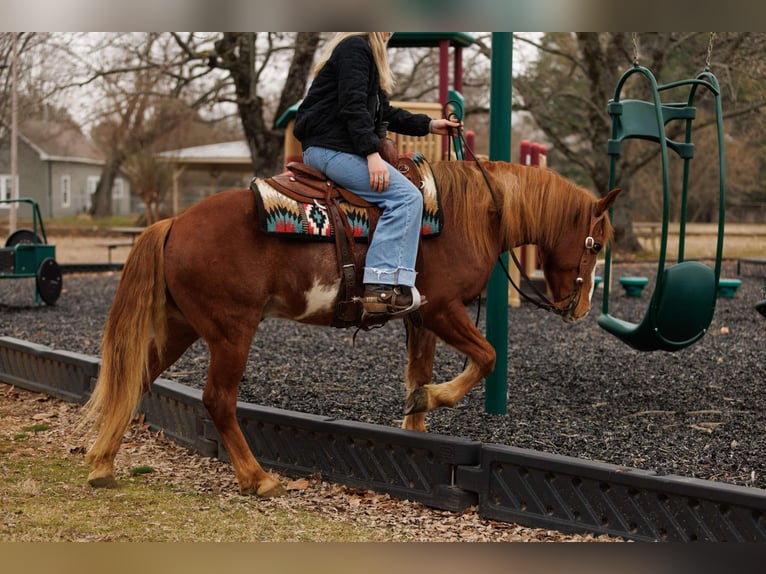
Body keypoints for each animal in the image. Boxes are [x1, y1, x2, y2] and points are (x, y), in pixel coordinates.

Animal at [81, 159, 620, 497]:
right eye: (594, 244)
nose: (581, 308)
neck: (471, 216)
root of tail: (172, 223)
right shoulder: (444, 309)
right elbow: (485, 357)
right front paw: (435, 399)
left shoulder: (421, 318)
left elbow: (418, 376)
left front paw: (417, 419)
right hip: (231, 332)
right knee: (217, 400)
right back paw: (258, 478)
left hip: (182, 327)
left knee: (137, 379)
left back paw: (103, 462)